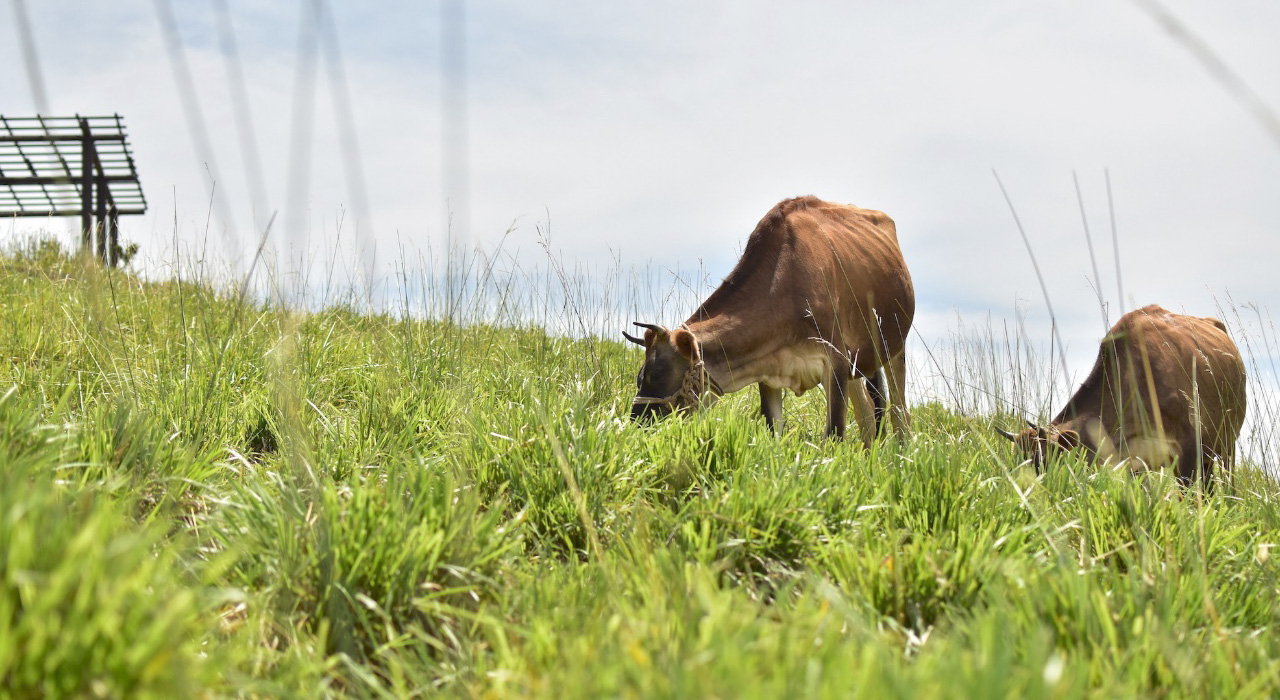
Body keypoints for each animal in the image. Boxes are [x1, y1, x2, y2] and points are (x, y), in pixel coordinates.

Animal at [622, 194, 916, 442]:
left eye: (658, 373)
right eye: (639, 375)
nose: (636, 426)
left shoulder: (836, 361)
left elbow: (835, 433)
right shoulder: (769, 372)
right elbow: (774, 431)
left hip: (894, 346)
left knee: (898, 414)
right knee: (867, 415)